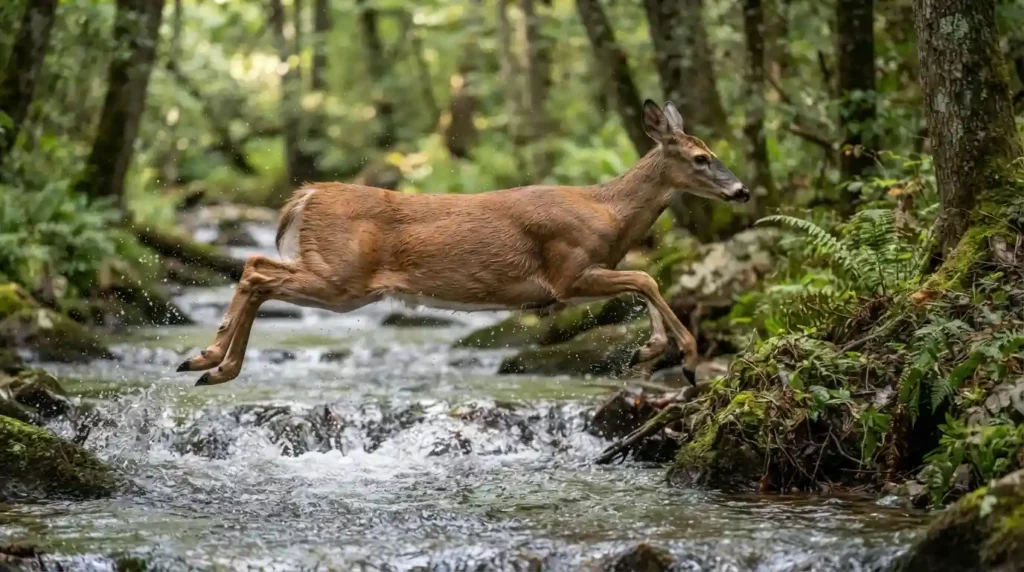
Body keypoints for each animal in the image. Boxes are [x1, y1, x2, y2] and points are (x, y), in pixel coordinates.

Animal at [176, 100, 750, 387]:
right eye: (701, 158)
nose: (742, 190)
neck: (609, 211)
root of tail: (307, 194)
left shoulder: (581, 278)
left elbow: (643, 282)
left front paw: (651, 351)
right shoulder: (567, 272)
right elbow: (647, 277)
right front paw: (688, 357)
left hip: (340, 281)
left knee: (256, 267)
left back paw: (212, 366)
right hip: (341, 276)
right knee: (255, 266)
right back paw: (210, 359)